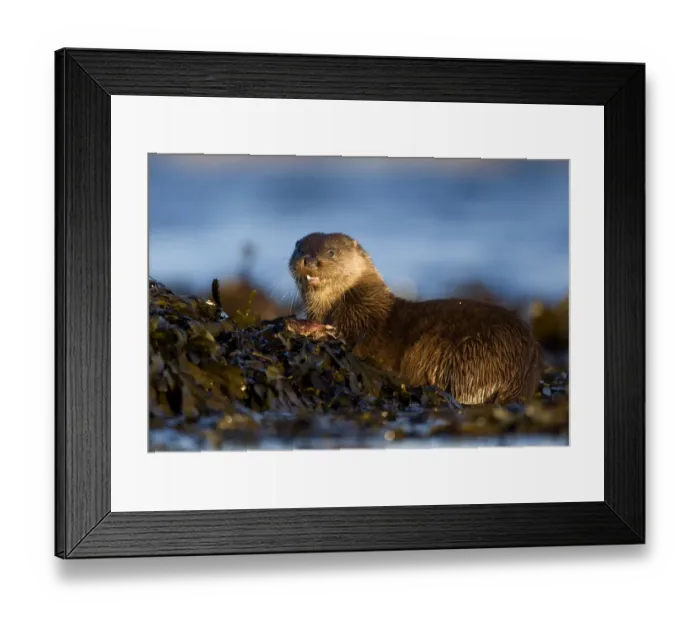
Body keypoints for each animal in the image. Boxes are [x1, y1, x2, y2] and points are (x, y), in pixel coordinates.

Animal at [289, 232, 543, 405]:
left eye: (331, 252)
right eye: (300, 250)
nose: (310, 260)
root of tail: (523, 371)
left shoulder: (358, 320)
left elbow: (343, 336)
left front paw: (303, 327)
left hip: (469, 354)